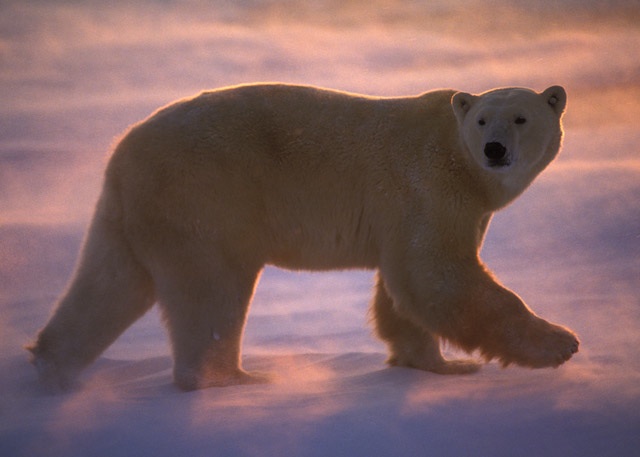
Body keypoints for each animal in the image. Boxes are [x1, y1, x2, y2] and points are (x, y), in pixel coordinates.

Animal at [28, 83, 579, 392]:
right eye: (484, 119)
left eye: (521, 117)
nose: (493, 149)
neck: (458, 156)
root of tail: (122, 150)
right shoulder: (427, 184)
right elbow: (437, 276)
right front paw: (560, 343)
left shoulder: (424, 206)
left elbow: (404, 290)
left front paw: (435, 366)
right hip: (205, 196)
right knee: (212, 291)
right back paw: (234, 380)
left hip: (132, 212)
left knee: (110, 282)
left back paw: (50, 367)